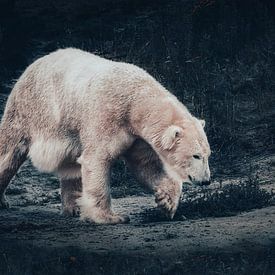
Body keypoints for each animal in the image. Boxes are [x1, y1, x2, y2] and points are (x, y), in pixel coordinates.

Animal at [0, 49, 211, 224]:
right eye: (196, 155)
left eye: (208, 155)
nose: (206, 181)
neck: (135, 100)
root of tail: (34, 64)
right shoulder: (106, 116)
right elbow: (97, 159)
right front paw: (110, 217)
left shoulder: (137, 137)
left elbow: (146, 166)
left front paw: (166, 202)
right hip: (28, 112)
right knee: (10, 153)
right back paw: (4, 200)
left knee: (71, 165)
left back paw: (74, 207)